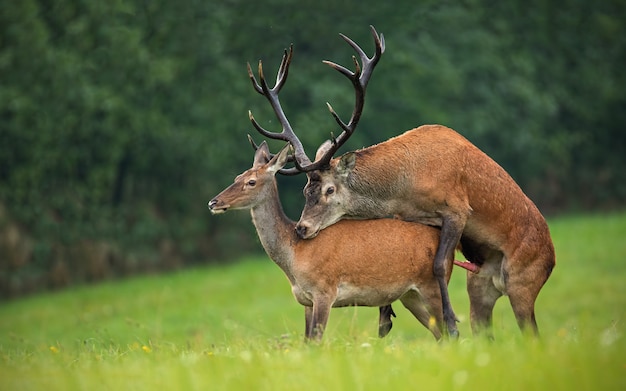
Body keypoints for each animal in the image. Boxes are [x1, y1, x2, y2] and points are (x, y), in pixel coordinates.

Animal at [207, 142, 450, 342]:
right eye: (236, 177)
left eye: (251, 182)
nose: (213, 202)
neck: (294, 253)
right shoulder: (307, 300)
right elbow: (306, 342)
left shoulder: (325, 291)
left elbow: (316, 341)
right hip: (410, 295)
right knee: (440, 334)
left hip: (432, 286)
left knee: (449, 330)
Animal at [246, 26, 552, 340]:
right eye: (305, 189)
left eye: (330, 189)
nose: (302, 228)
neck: (404, 189)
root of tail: (551, 256)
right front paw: (385, 316)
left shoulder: (457, 208)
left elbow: (438, 265)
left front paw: (451, 320)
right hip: (480, 283)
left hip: (524, 279)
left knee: (532, 330)